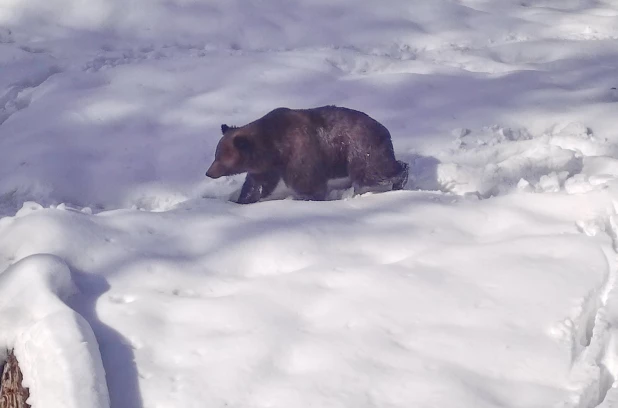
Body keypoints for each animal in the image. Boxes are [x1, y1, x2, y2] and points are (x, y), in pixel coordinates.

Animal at [206, 105, 410, 204]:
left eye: (219, 157)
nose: (208, 172)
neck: (275, 148)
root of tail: (384, 129)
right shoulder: (267, 167)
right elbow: (256, 184)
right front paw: (243, 199)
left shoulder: (299, 155)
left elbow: (307, 183)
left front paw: (306, 199)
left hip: (360, 150)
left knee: (372, 171)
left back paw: (400, 178)